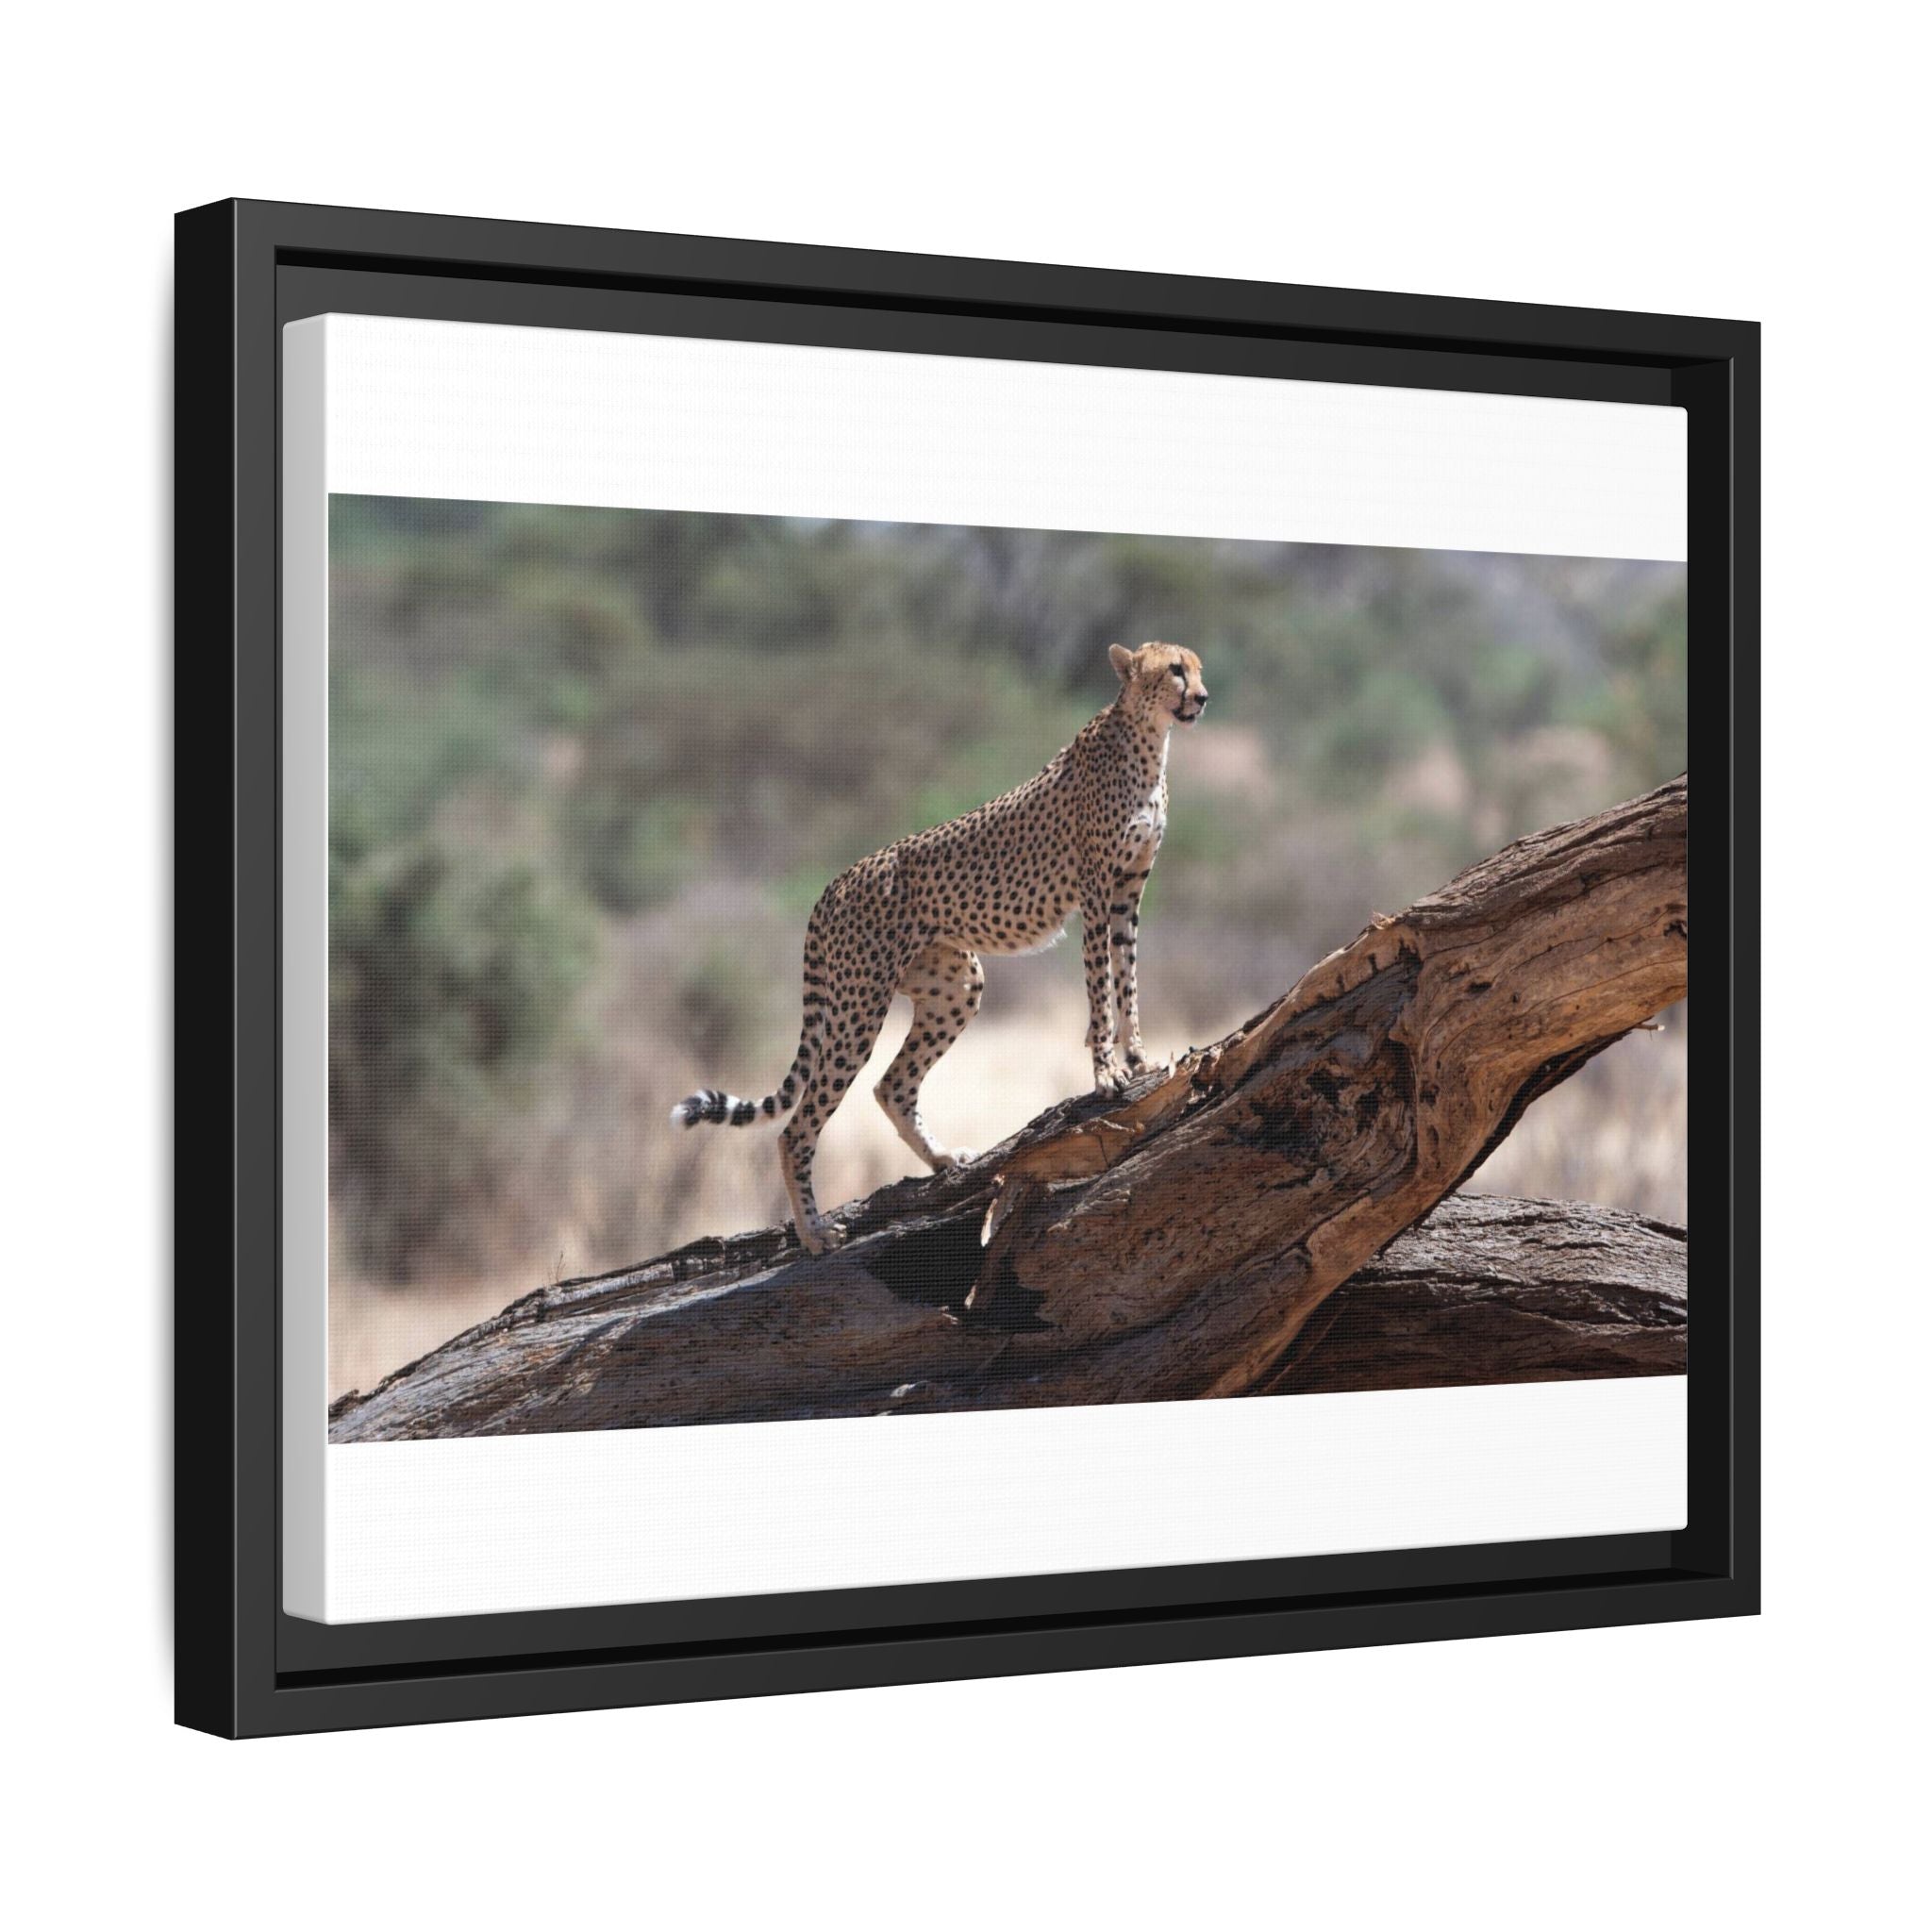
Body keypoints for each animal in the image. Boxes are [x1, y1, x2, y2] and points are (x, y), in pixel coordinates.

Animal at [672, 641, 1210, 1253]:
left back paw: (943, 1159)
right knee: (798, 1126)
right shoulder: (1096, 892)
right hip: (858, 1007)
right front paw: (1106, 1073)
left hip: (955, 986)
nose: (1202, 697)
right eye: (1175, 670)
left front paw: (1140, 1057)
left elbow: (1128, 979)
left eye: (1197, 668)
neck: (1148, 739)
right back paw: (815, 1234)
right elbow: (1100, 988)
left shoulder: (1128, 893)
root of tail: (835, 883)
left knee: (892, 1086)